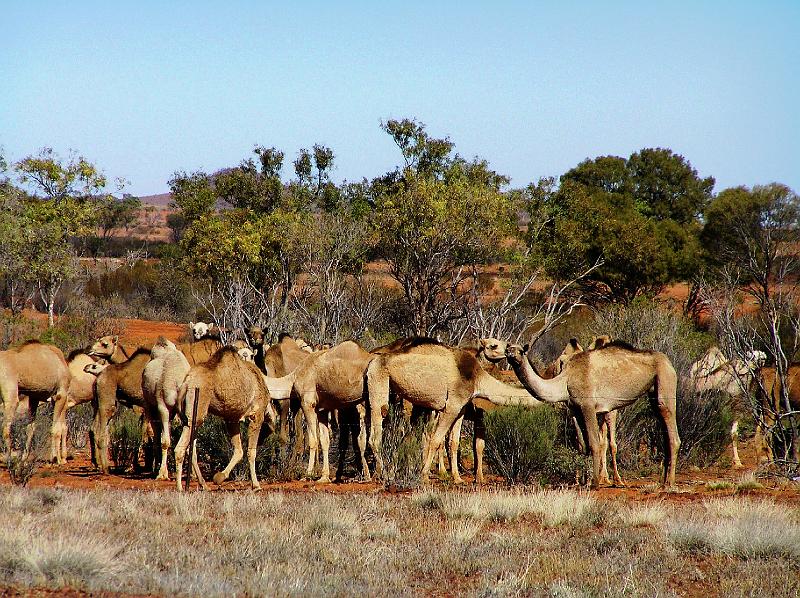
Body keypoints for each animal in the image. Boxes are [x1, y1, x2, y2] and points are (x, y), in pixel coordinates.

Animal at [141, 338, 190, 482]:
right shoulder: (163, 407)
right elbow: (165, 441)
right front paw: (162, 474)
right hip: (151, 405)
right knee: (157, 435)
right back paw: (156, 469)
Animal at [175, 346, 278, 492]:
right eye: (268, 431)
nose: (264, 440)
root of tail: (186, 383)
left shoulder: (231, 418)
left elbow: (239, 450)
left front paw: (220, 477)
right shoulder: (256, 415)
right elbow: (251, 452)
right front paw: (256, 485)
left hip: (191, 417)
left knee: (191, 448)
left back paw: (204, 485)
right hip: (196, 412)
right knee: (180, 448)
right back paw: (179, 487)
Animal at [366, 338, 540, 482]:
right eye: (494, 345)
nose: (510, 351)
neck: (476, 379)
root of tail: (373, 360)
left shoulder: (461, 409)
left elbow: (453, 442)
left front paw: (457, 478)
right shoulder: (451, 406)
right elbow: (436, 440)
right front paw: (424, 476)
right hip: (379, 383)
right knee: (376, 435)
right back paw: (383, 474)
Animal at [504, 340, 680, 490]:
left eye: (520, 350)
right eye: (508, 348)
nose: (510, 353)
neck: (564, 382)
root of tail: (668, 361)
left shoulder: (588, 406)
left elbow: (595, 443)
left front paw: (594, 483)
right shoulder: (576, 410)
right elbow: (584, 445)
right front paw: (584, 481)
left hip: (665, 381)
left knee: (672, 431)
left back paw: (669, 484)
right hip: (653, 393)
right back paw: (662, 481)